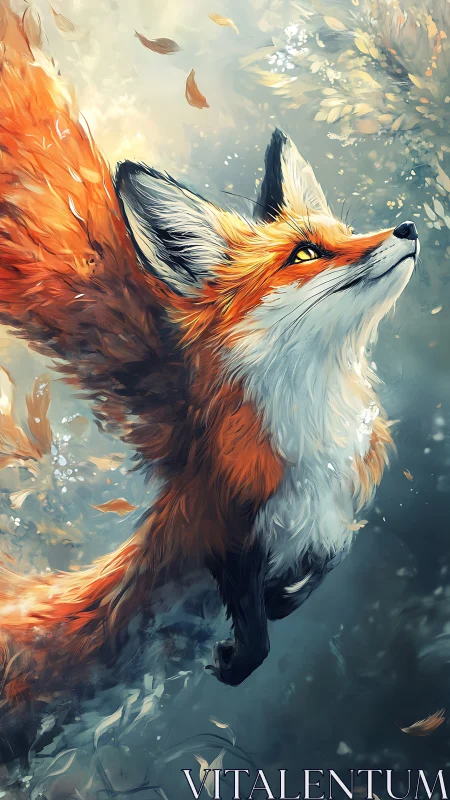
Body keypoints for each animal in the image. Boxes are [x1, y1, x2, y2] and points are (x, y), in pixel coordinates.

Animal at [0, 0, 419, 704]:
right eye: (307, 252)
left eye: (342, 231)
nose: (410, 227)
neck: (320, 434)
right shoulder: (228, 525)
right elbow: (255, 622)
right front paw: (242, 654)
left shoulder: (333, 514)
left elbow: (319, 567)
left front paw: (286, 599)